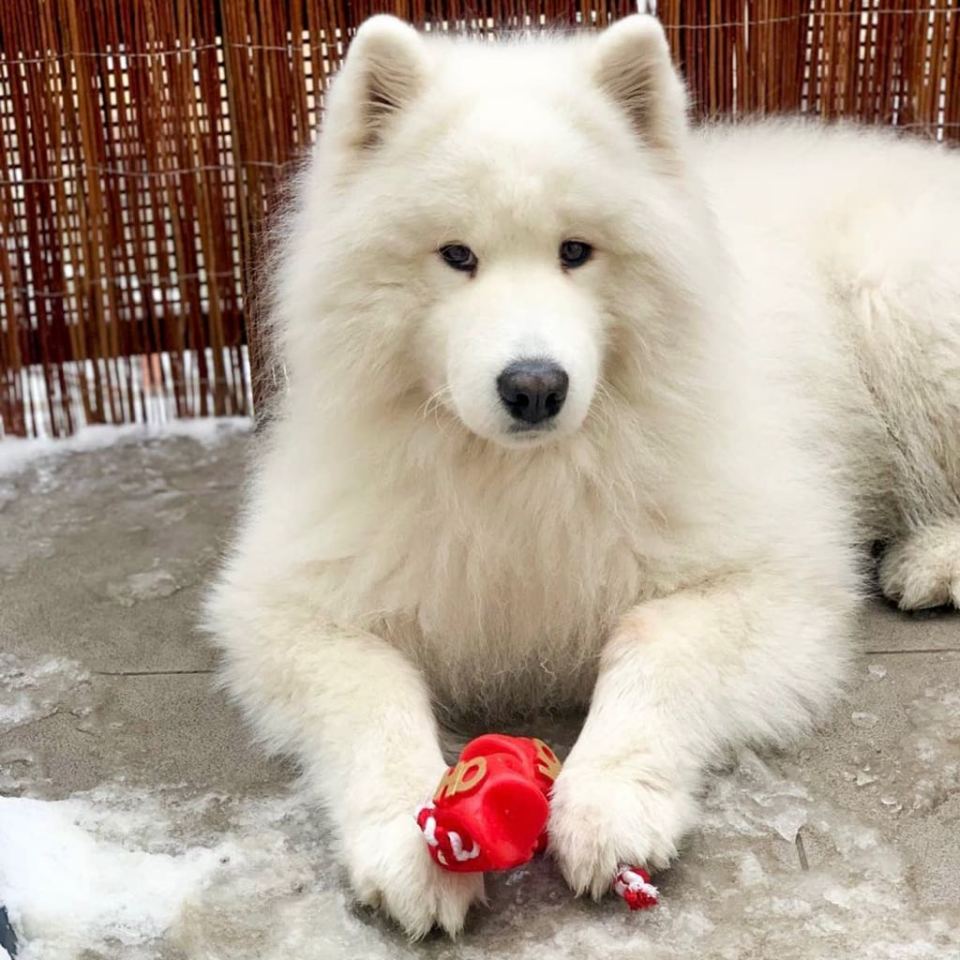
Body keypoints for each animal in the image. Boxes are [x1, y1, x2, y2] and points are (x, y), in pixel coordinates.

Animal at [205, 13, 960, 937]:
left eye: (576, 252)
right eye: (456, 255)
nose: (534, 385)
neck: (518, 477)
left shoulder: (773, 581)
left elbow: (653, 641)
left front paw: (607, 802)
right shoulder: (288, 604)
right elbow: (371, 692)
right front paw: (406, 843)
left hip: (903, 308)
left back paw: (933, 560)